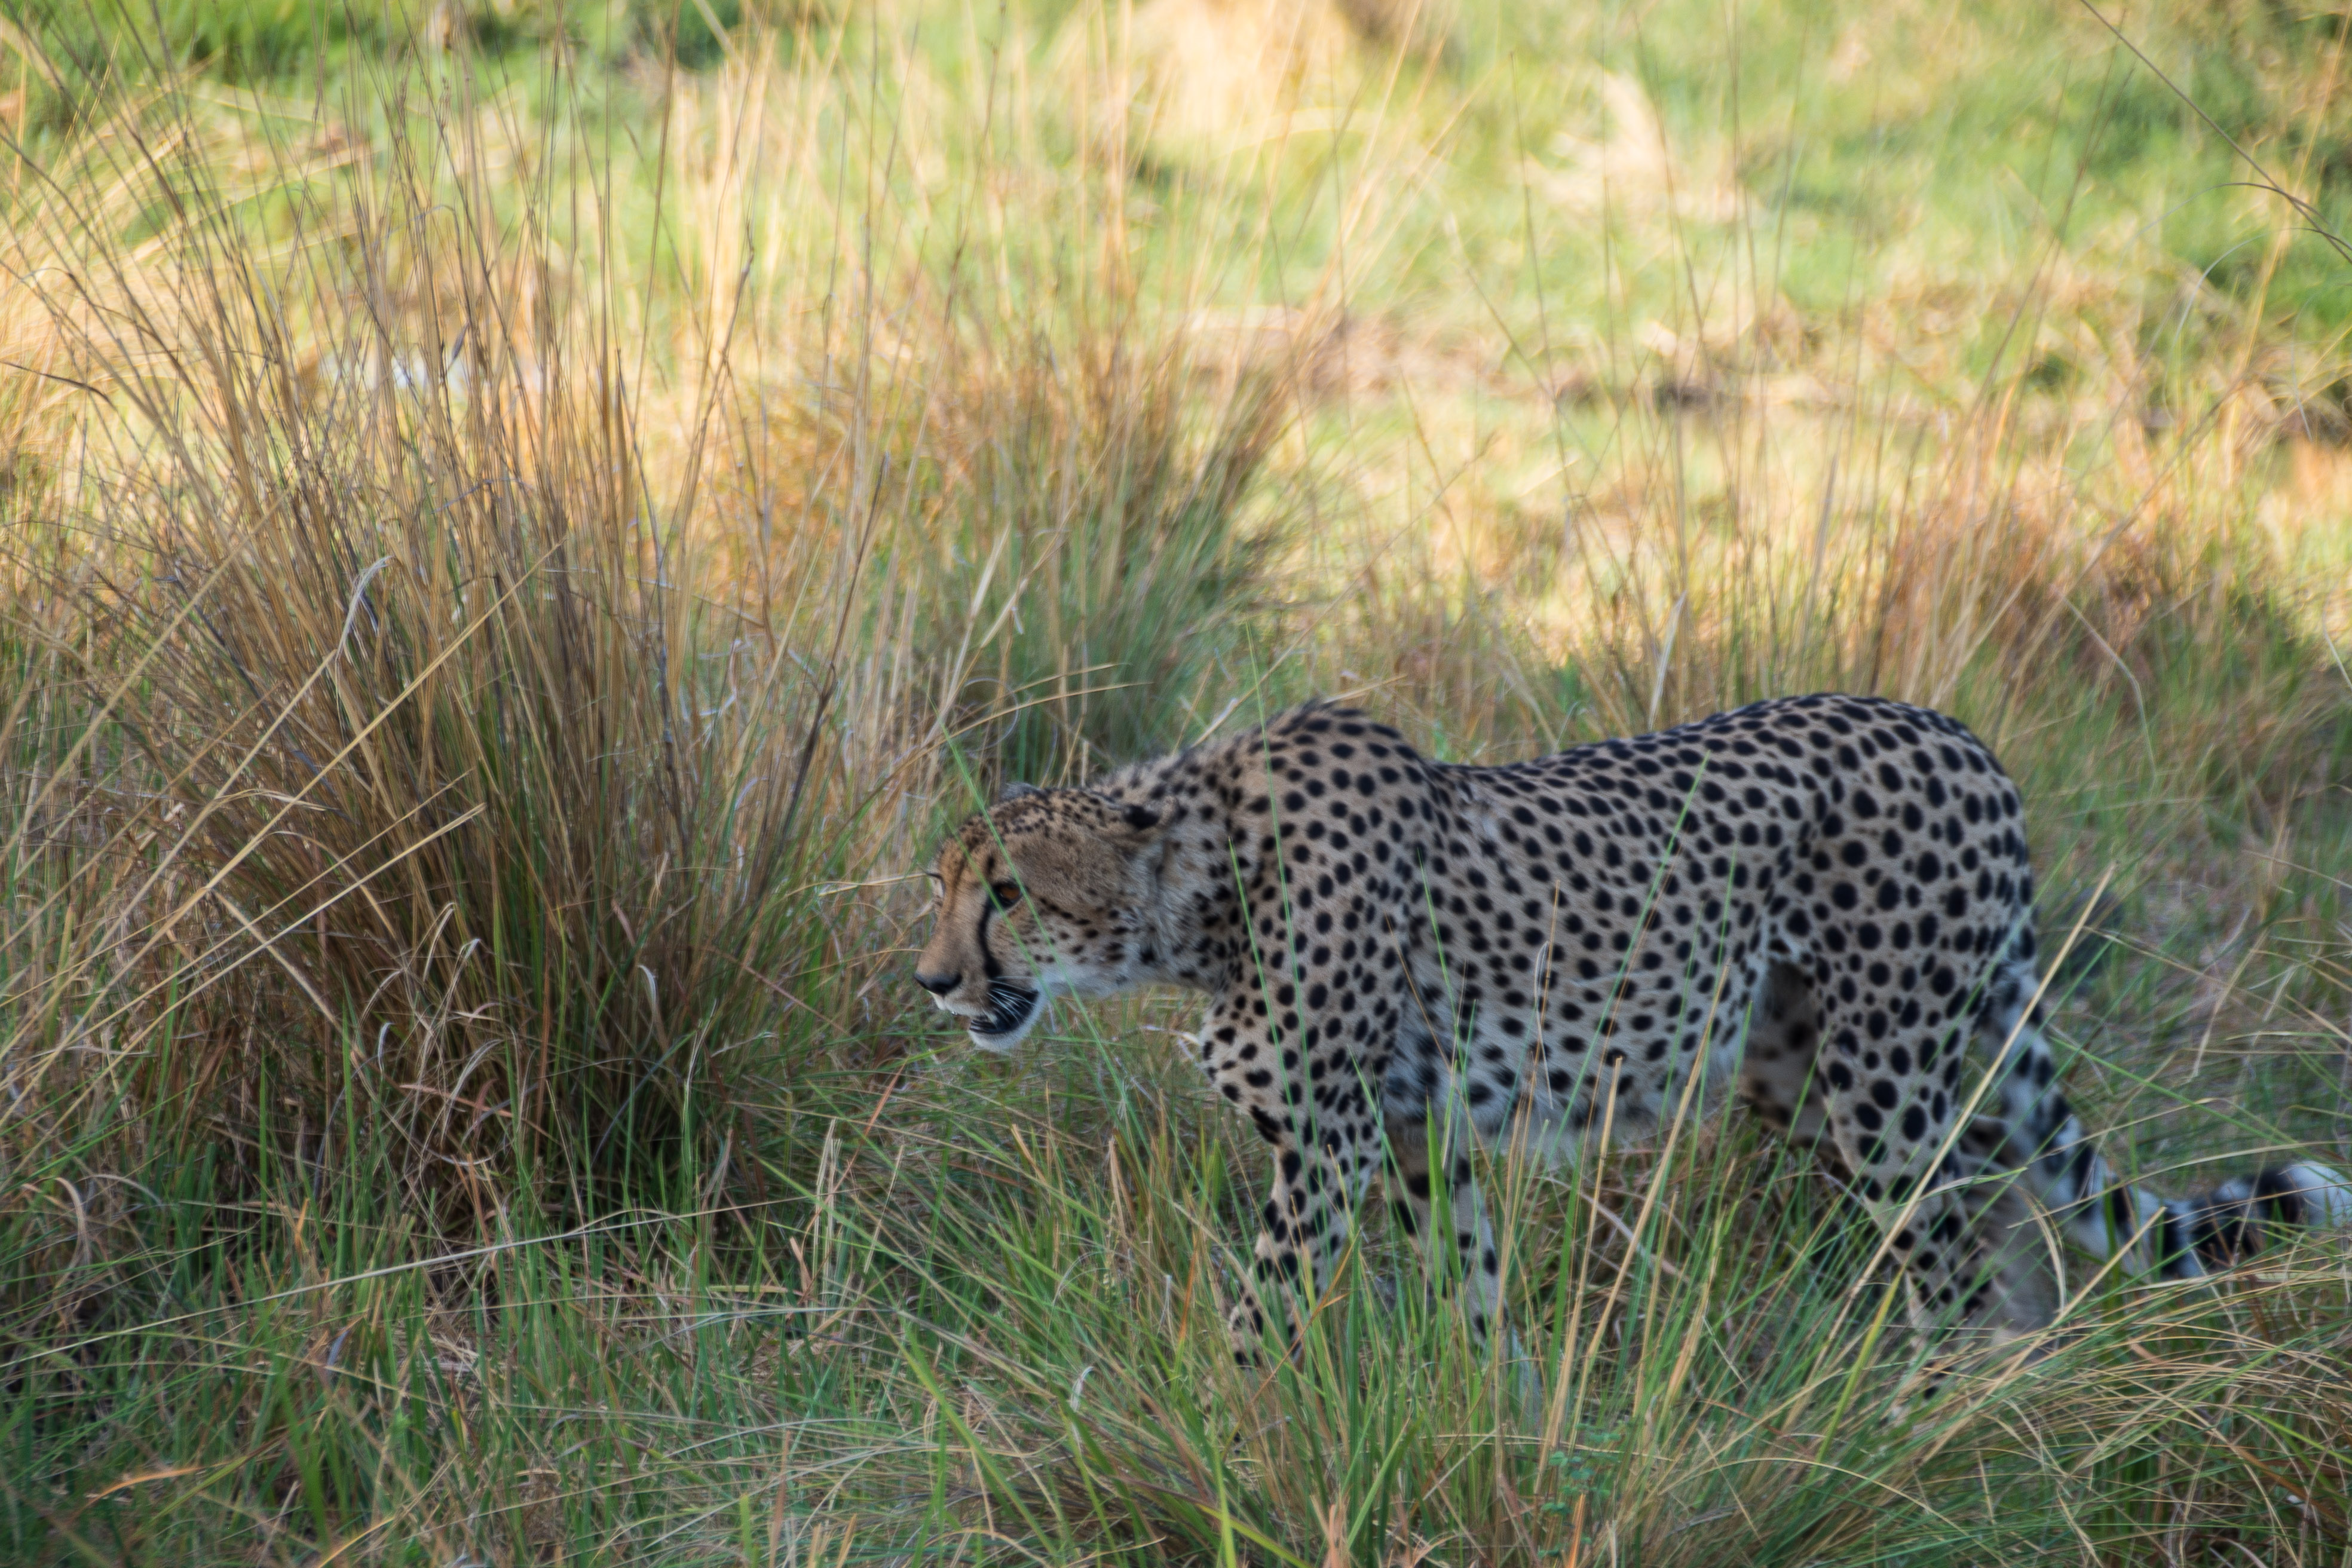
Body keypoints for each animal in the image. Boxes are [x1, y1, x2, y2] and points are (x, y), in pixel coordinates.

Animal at [908, 691, 2342, 1354]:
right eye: (945, 880)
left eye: (1007, 893)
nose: (931, 981)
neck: (1200, 892)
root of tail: (1959, 734)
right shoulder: (1422, 1136)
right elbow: (1476, 1299)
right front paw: (1501, 1431)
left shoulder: (1328, 1148)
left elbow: (1265, 1320)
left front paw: (1235, 1425)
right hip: (1813, 1072)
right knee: (1998, 1183)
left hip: (1880, 1082)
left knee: (1951, 1249)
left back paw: (1933, 1411)